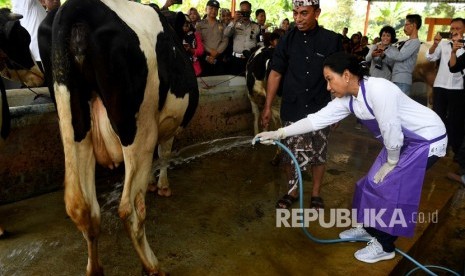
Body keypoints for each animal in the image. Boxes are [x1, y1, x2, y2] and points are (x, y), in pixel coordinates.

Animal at [39, 1, 198, 274]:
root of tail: (74, 7)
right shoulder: (167, 124)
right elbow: (165, 153)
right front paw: (162, 186)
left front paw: (155, 183)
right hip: (140, 130)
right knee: (129, 209)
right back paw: (152, 265)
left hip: (72, 122)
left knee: (82, 206)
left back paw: (95, 269)